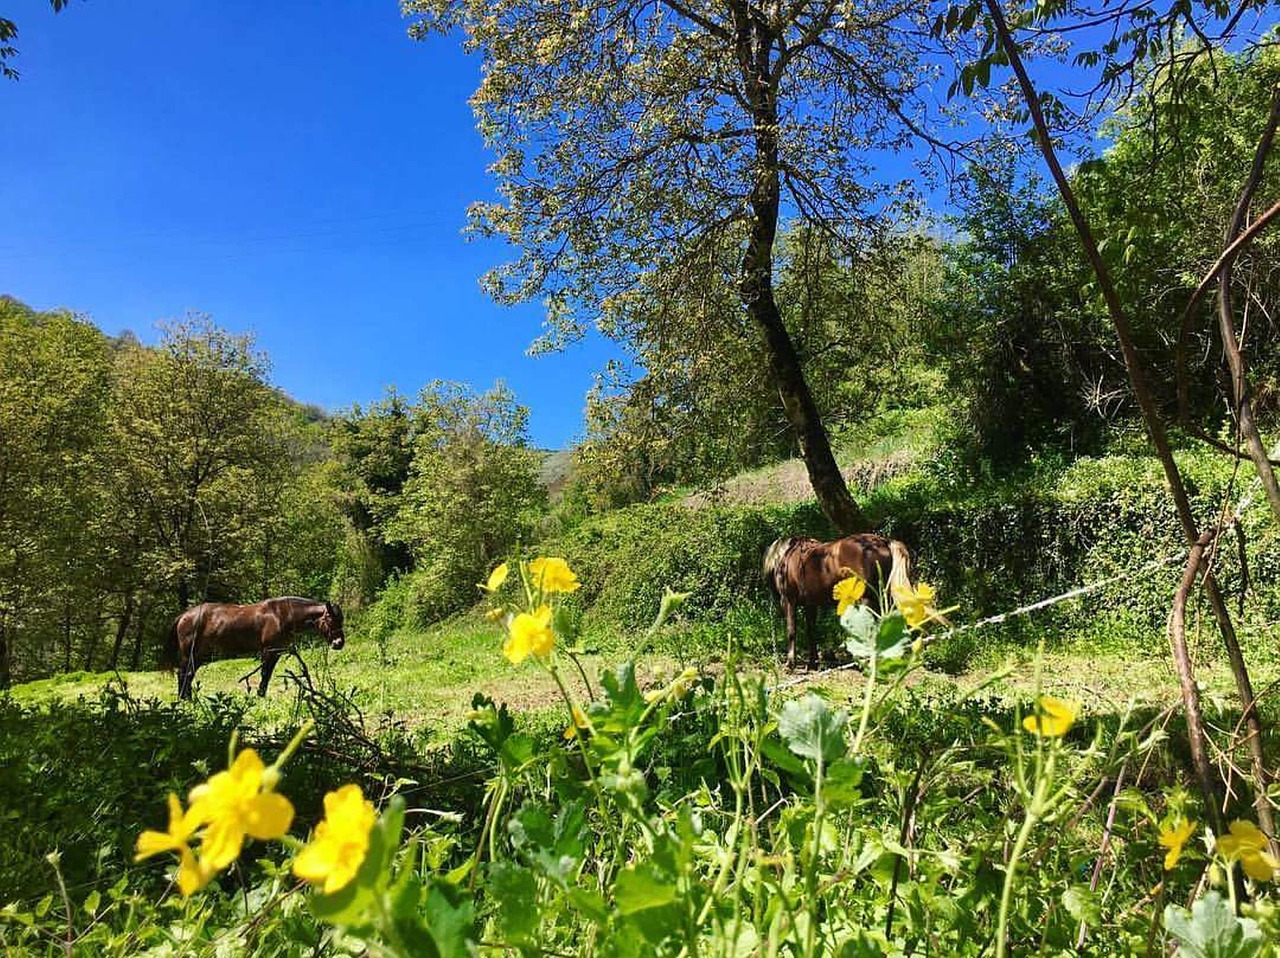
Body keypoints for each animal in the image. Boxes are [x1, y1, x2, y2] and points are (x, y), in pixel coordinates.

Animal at [174, 594, 350, 701]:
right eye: (330, 619)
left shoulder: (276, 653)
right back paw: (185, 699)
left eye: (341, 620)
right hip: (191, 656)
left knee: (188, 675)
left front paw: (261, 694)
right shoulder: (268, 651)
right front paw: (260, 695)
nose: (339, 643)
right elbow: (265, 673)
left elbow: (268, 674)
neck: (281, 615)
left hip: (197, 657)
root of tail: (184, 616)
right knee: (184, 674)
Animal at [757, 530, 911, 671]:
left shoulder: (789, 601)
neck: (786, 558)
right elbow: (811, 632)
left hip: (866, 600)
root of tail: (882, 542)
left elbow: (791, 631)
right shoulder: (810, 605)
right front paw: (812, 663)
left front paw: (790, 664)